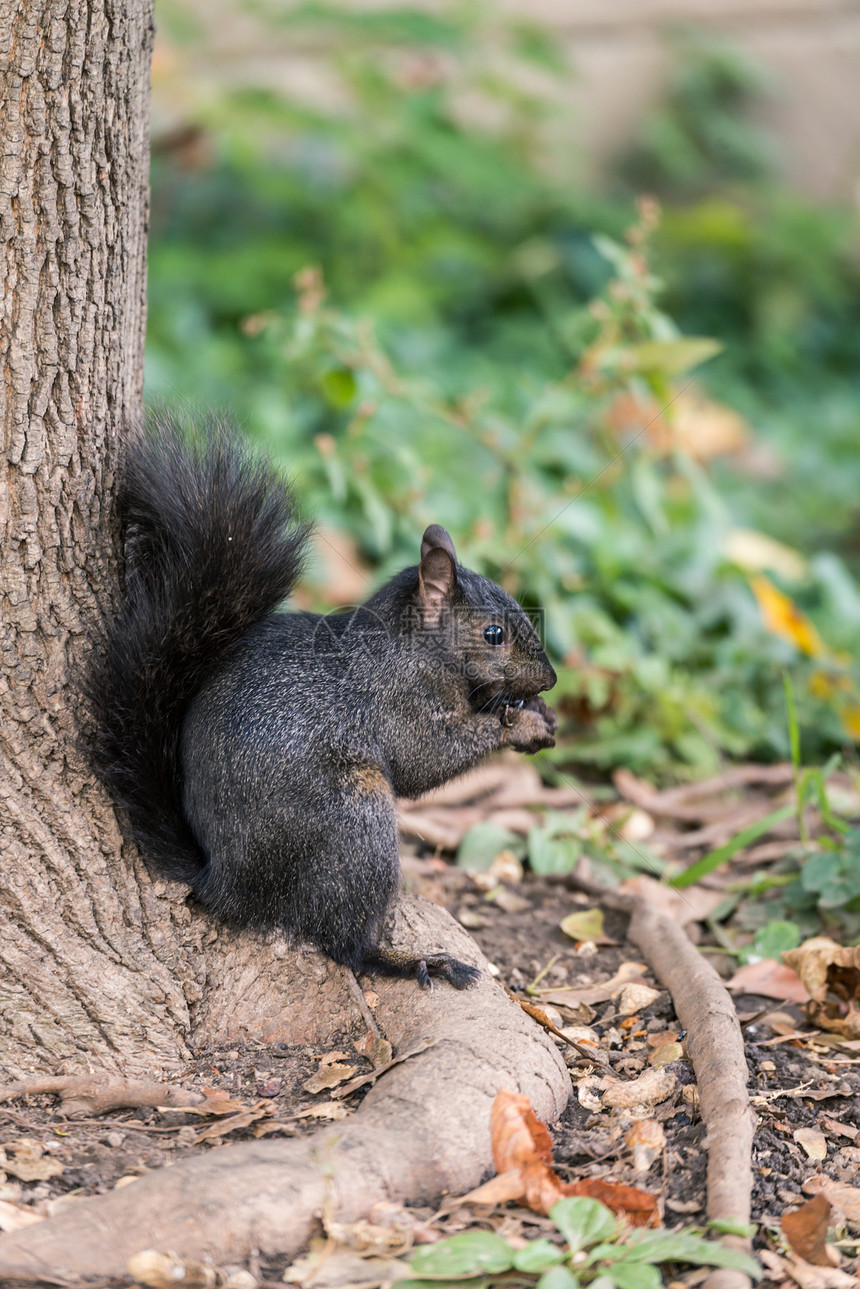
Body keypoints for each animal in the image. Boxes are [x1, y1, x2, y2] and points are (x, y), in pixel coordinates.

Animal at [87, 412, 559, 984]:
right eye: (493, 634)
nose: (551, 679)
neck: (413, 646)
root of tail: (225, 884)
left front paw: (540, 714)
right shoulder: (399, 701)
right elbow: (426, 760)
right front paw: (523, 725)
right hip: (355, 820)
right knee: (343, 943)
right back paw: (413, 961)